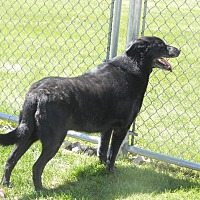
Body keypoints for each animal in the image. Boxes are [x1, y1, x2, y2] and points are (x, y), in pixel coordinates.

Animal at [0, 36, 180, 191]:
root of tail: (36, 93)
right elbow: (113, 154)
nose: (179, 50)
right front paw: (111, 173)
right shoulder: (122, 128)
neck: (132, 66)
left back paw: (7, 184)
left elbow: (103, 149)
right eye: (161, 45)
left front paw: (101, 166)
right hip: (54, 139)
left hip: (29, 134)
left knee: (10, 159)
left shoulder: (106, 128)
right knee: (36, 166)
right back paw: (41, 190)